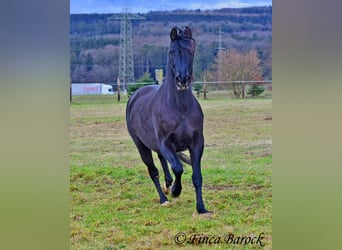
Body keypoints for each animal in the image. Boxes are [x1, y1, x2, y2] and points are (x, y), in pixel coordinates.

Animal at [125, 27, 208, 215]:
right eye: (171, 52)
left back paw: (167, 185)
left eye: (191, 51)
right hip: (141, 147)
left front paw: (201, 208)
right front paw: (176, 191)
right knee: (153, 171)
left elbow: (197, 176)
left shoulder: (197, 144)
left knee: (162, 162)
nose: (182, 80)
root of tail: (135, 95)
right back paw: (164, 198)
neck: (180, 108)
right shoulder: (165, 143)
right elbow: (178, 168)